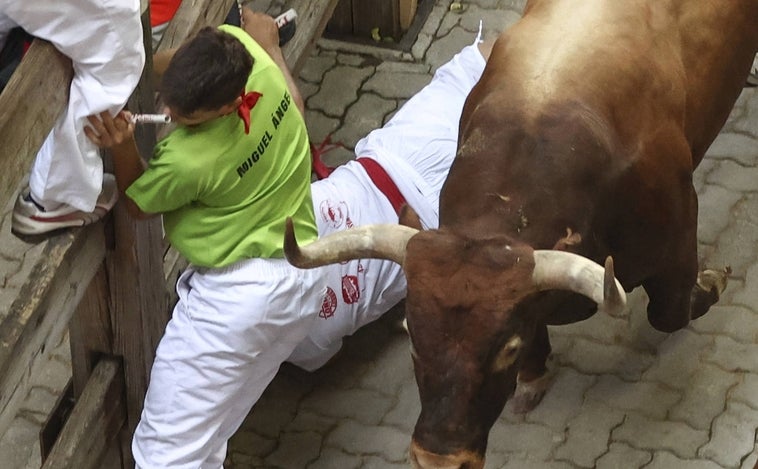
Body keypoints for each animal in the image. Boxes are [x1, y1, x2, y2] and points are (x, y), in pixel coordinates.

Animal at [286, 0, 758, 466]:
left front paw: (712, 283)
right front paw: (533, 377)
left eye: (507, 349)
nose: (439, 458)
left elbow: (669, 313)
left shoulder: (677, 237)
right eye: (413, 338)